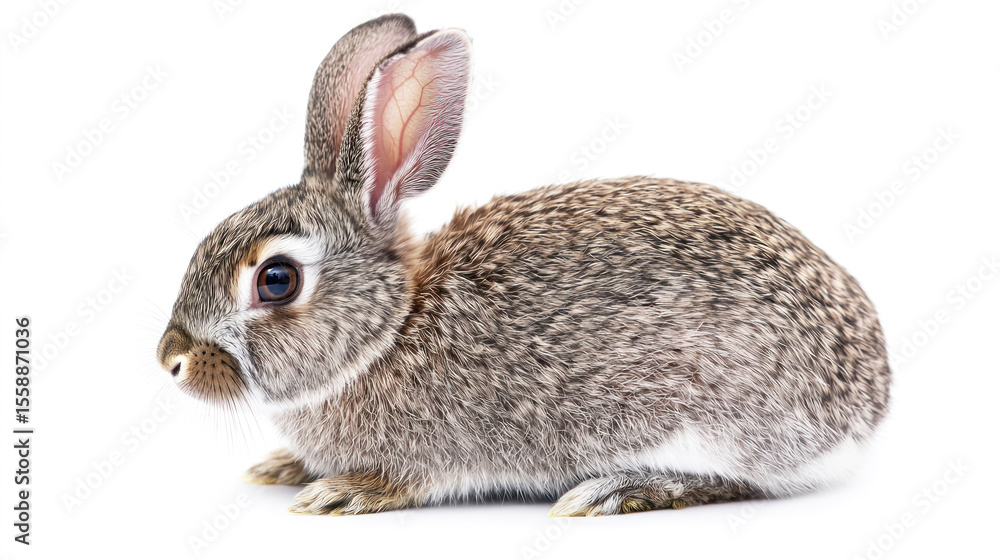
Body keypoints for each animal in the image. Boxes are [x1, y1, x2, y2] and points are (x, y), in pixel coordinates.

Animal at [157, 13, 890, 516]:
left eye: (276, 280)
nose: (171, 360)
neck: (388, 331)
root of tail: (869, 404)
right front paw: (282, 467)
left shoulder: (436, 450)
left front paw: (338, 493)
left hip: (712, 414)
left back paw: (610, 493)